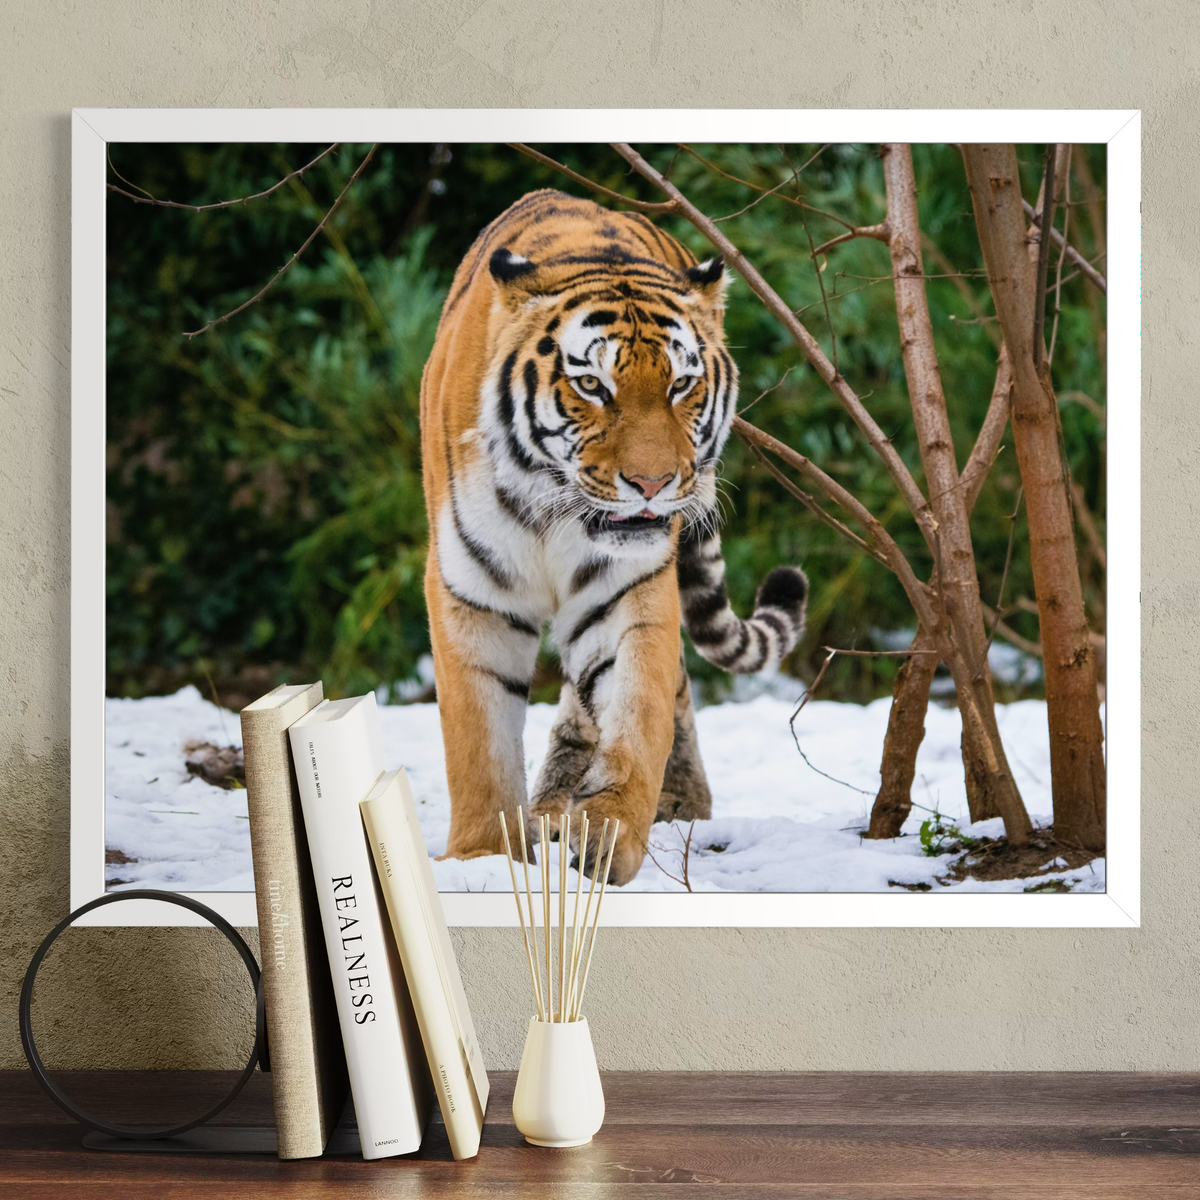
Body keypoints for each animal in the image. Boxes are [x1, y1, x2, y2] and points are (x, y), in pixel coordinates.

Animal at [420, 188, 808, 885]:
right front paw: (481, 861)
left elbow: (638, 710)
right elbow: (478, 744)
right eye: (591, 386)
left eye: (681, 384)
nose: (653, 483)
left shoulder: (627, 588)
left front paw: (608, 837)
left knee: (656, 689)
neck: (550, 508)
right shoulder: (471, 594)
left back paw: (667, 803)